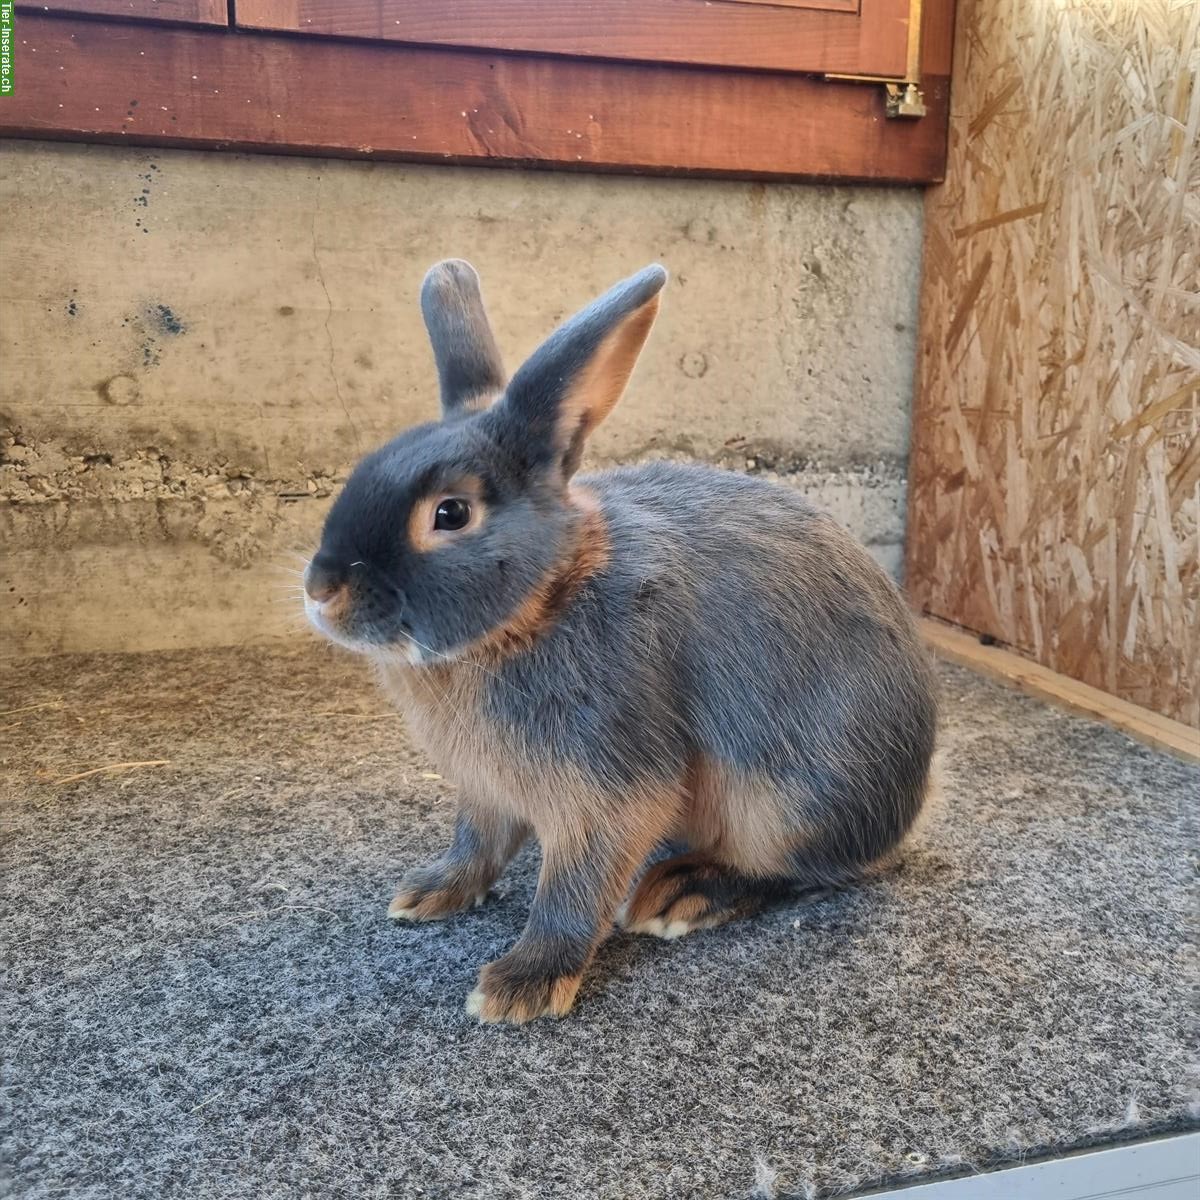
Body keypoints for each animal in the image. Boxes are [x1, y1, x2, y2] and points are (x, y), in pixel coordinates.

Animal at [302, 260, 936, 1022]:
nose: (321, 590)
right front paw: (432, 892)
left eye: (450, 513)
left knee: (809, 870)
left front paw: (521, 985)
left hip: (790, 805)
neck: (542, 603)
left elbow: (575, 887)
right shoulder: (486, 787)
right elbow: (477, 843)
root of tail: (910, 798)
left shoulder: (611, 786)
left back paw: (686, 892)